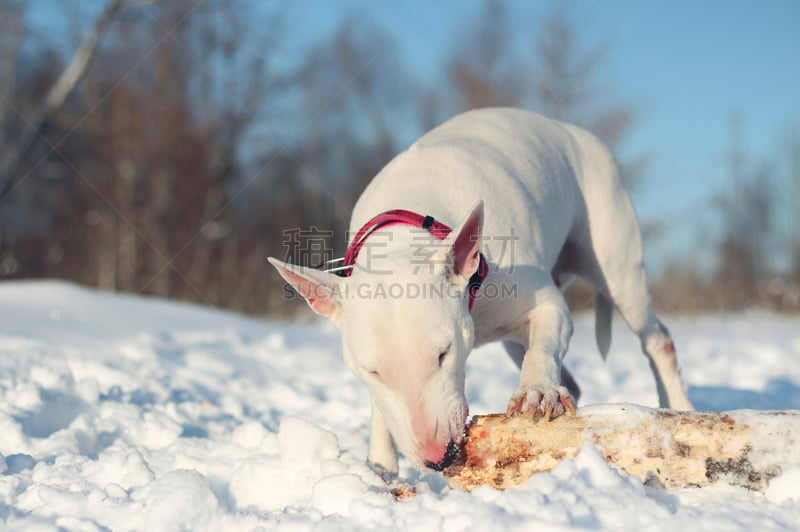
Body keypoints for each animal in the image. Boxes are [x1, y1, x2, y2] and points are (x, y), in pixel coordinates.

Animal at [268, 108, 692, 474]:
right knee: (567, 375)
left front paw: (538, 392)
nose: (439, 458)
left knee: (657, 340)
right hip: (516, 337)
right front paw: (380, 468)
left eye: (444, 354)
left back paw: (679, 406)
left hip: (618, 267)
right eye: (373, 371)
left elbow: (545, 342)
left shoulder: (546, 304)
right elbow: (380, 410)